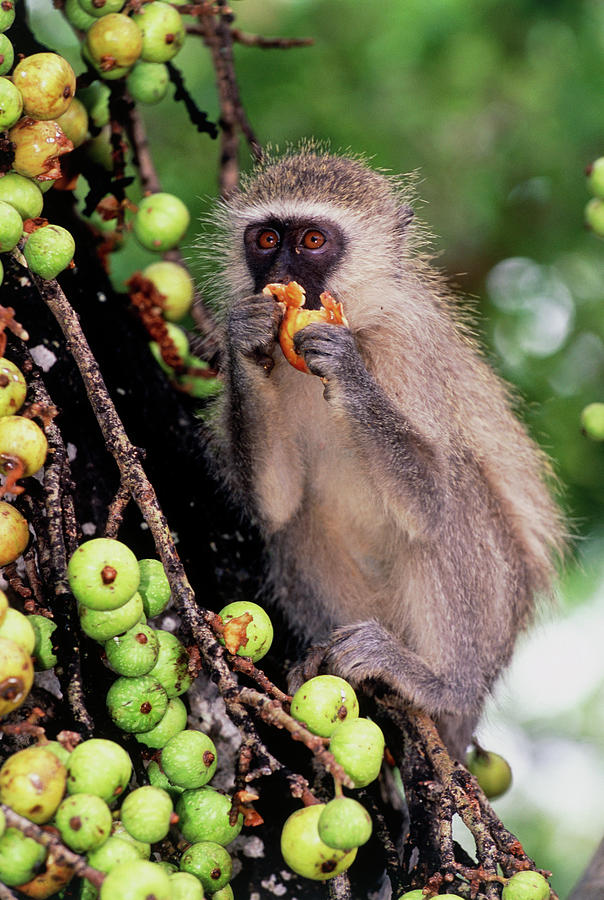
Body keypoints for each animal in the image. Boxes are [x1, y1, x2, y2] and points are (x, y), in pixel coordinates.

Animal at [205, 151, 564, 756]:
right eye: (267, 238)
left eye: (313, 239)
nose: (278, 277)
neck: (361, 320)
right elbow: (277, 502)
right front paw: (247, 335)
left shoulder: (407, 349)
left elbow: (432, 500)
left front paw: (346, 367)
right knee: (299, 520)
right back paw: (324, 659)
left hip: (487, 628)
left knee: (457, 498)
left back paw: (440, 683)